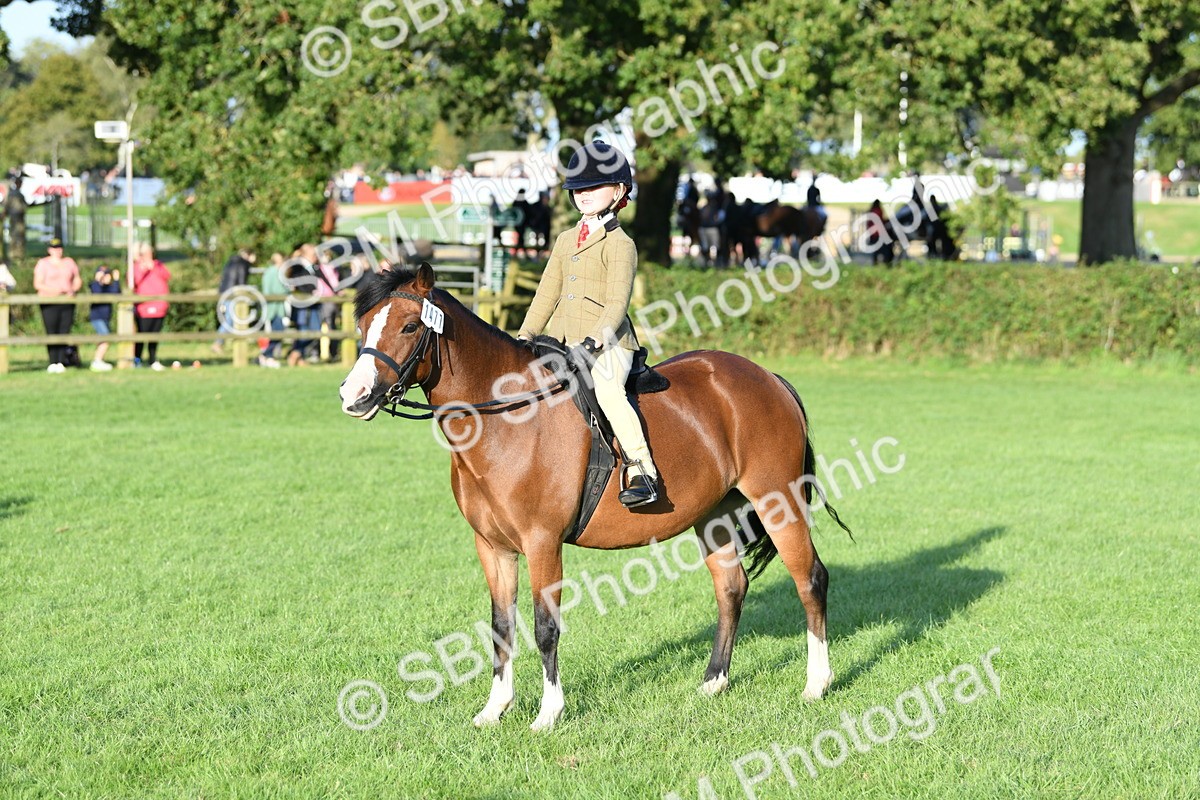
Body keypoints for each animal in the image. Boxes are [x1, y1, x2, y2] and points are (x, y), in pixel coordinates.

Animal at [338, 264, 851, 731]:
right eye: (363, 326)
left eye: (409, 326)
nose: (353, 395)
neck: (506, 419)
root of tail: (767, 376)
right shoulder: (492, 547)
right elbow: (501, 627)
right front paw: (494, 710)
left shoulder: (542, 542)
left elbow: (545, 627)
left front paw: (548, 714)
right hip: (713, 517)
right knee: (731, 588)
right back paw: (714, 682)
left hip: (777, 501)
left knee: (810, 579)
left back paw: (816, 684)